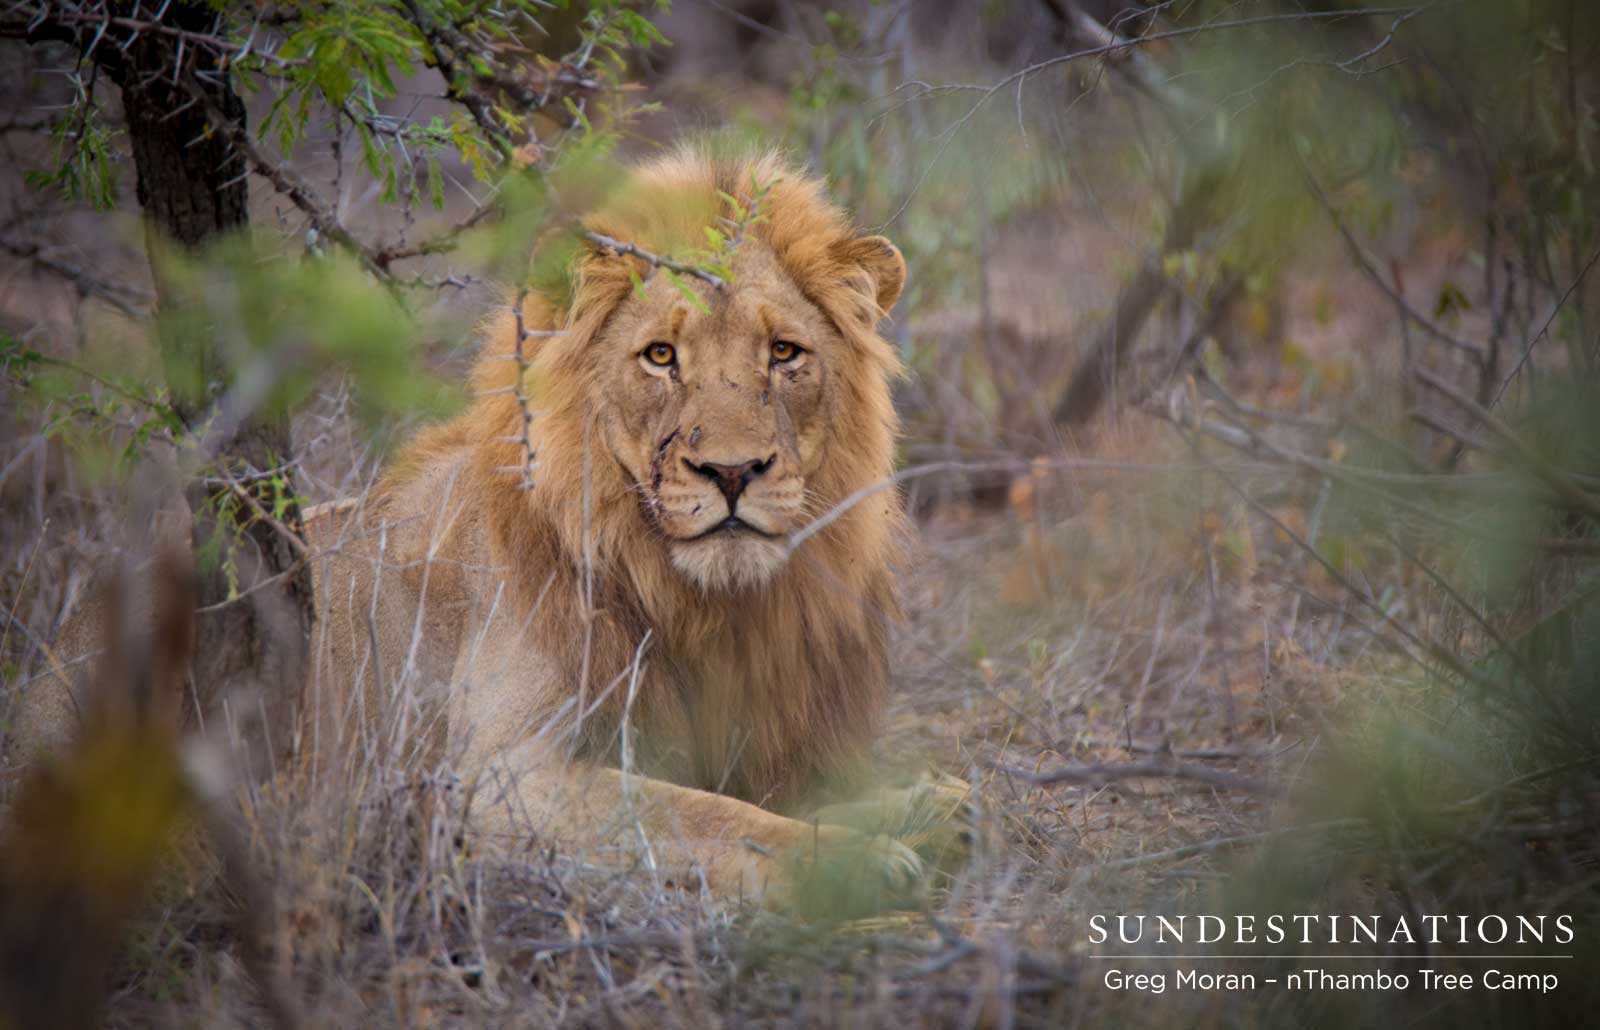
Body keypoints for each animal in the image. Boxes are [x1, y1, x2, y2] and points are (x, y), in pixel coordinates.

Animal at [12, 145, 956, 907]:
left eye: (785, 354)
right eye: (660, 356)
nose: (731, 473)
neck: (705, 604)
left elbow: (754, 795)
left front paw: (921, 803)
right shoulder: (493, 779)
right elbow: (700, 813)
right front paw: (851, 859)